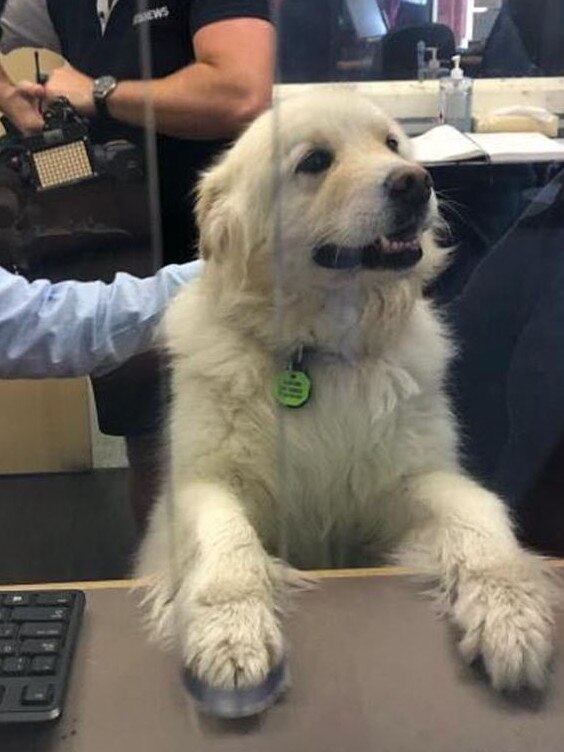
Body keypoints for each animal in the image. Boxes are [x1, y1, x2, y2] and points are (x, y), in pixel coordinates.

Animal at [138, 89, 556, 700]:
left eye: (391, 144)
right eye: (315, 161)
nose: (415, 182)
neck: (318, 355)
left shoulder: (414, 480)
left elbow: (480, 518)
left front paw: (513, 617)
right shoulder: (202, 486)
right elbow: (228, 542)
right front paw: (232, 634)